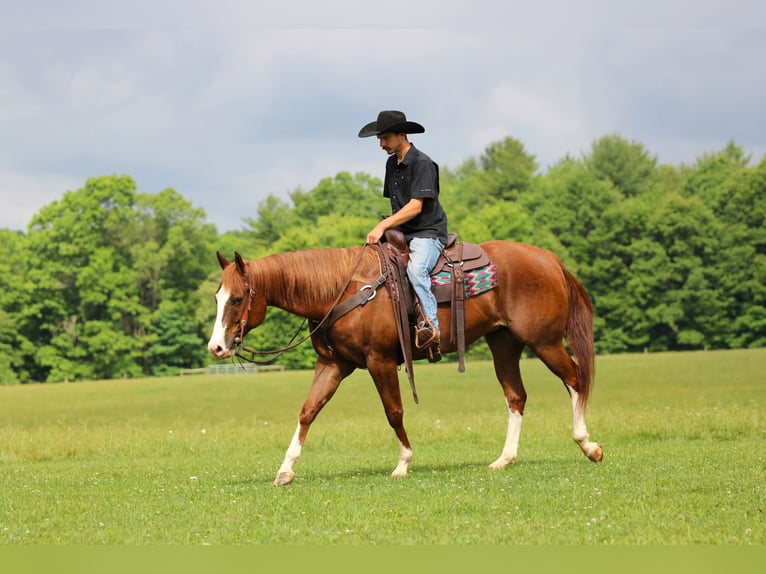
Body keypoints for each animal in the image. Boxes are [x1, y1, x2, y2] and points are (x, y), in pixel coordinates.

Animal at [207, 241, 603, 486]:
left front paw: (403, 462)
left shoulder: (379, 360)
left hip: (545, 342)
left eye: (238, 298)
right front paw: (285, 469)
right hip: (504, 343)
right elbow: (308, 411)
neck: (343, 289)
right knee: (516, 396)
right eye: (217, 297)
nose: (216, 347)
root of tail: (551, 260)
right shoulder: (333, 365)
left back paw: (587, 444)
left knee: (576, 380)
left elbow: (393, 411)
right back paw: (504, 459)